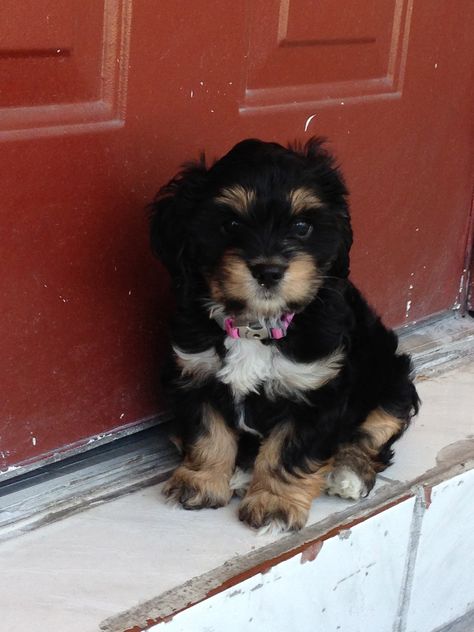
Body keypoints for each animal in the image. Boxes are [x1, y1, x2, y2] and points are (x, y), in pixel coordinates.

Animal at [149, 139, 418, 532]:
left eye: (303, 226)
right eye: (231, 224)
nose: (269, 271)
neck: (255, 324)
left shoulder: (316, 387)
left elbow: (289, 450)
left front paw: (274, 503)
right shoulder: (194, 372)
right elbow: (207, 432)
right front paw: (200, 482)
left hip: (392, 378)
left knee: (376, 430)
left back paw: (349, 473)